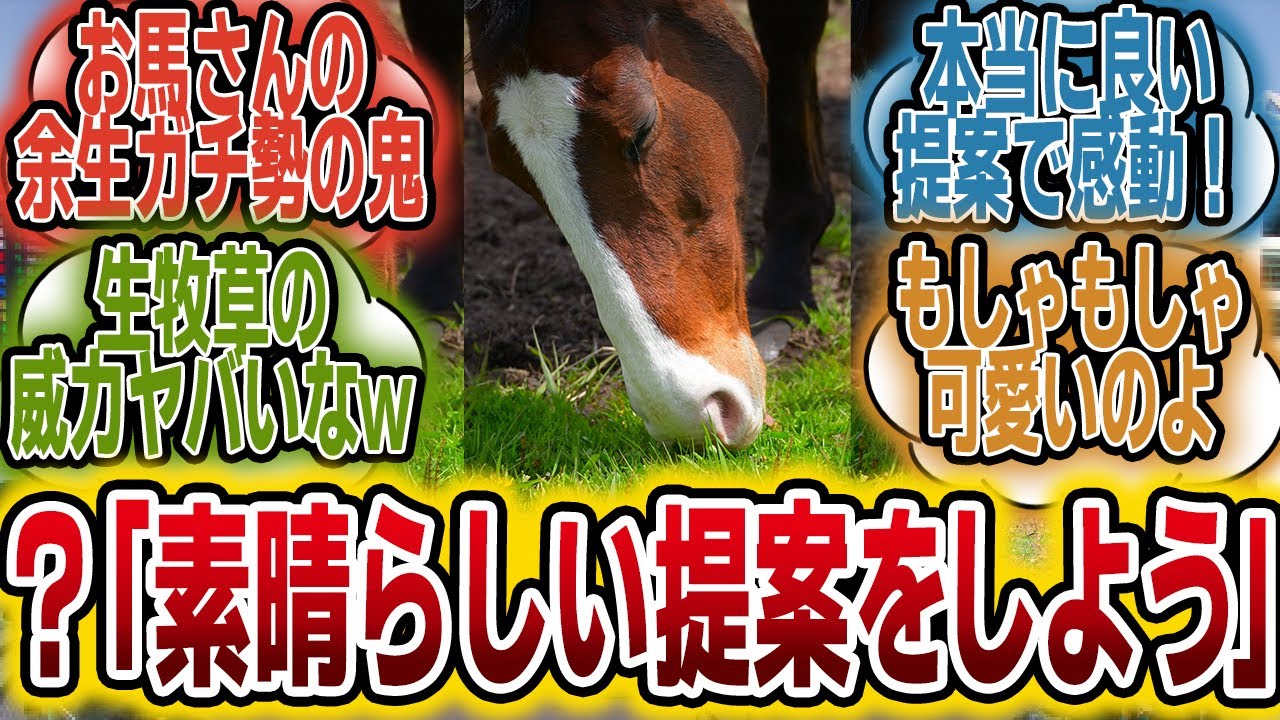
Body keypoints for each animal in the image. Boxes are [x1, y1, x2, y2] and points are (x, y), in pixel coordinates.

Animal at [401, 0, 837, 449]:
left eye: (643, 126)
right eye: (509, 169)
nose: (690, 418)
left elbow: (790, 27)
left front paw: (783, 289)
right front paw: (431, 290)